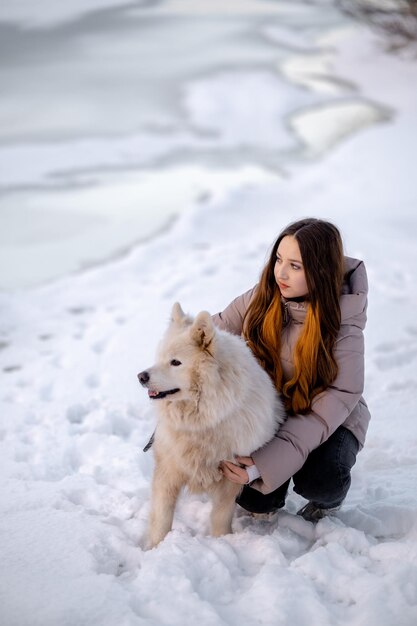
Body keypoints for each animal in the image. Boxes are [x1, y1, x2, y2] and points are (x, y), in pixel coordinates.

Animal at [138, 302, 284, 544]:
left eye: (175, 362)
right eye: (159, 357)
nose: (141, 376)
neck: (203, 420)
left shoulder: (231, 476)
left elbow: (221, 517)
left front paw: (221, 541)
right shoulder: (169, 469)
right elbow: (162, 517)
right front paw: (155, 547)